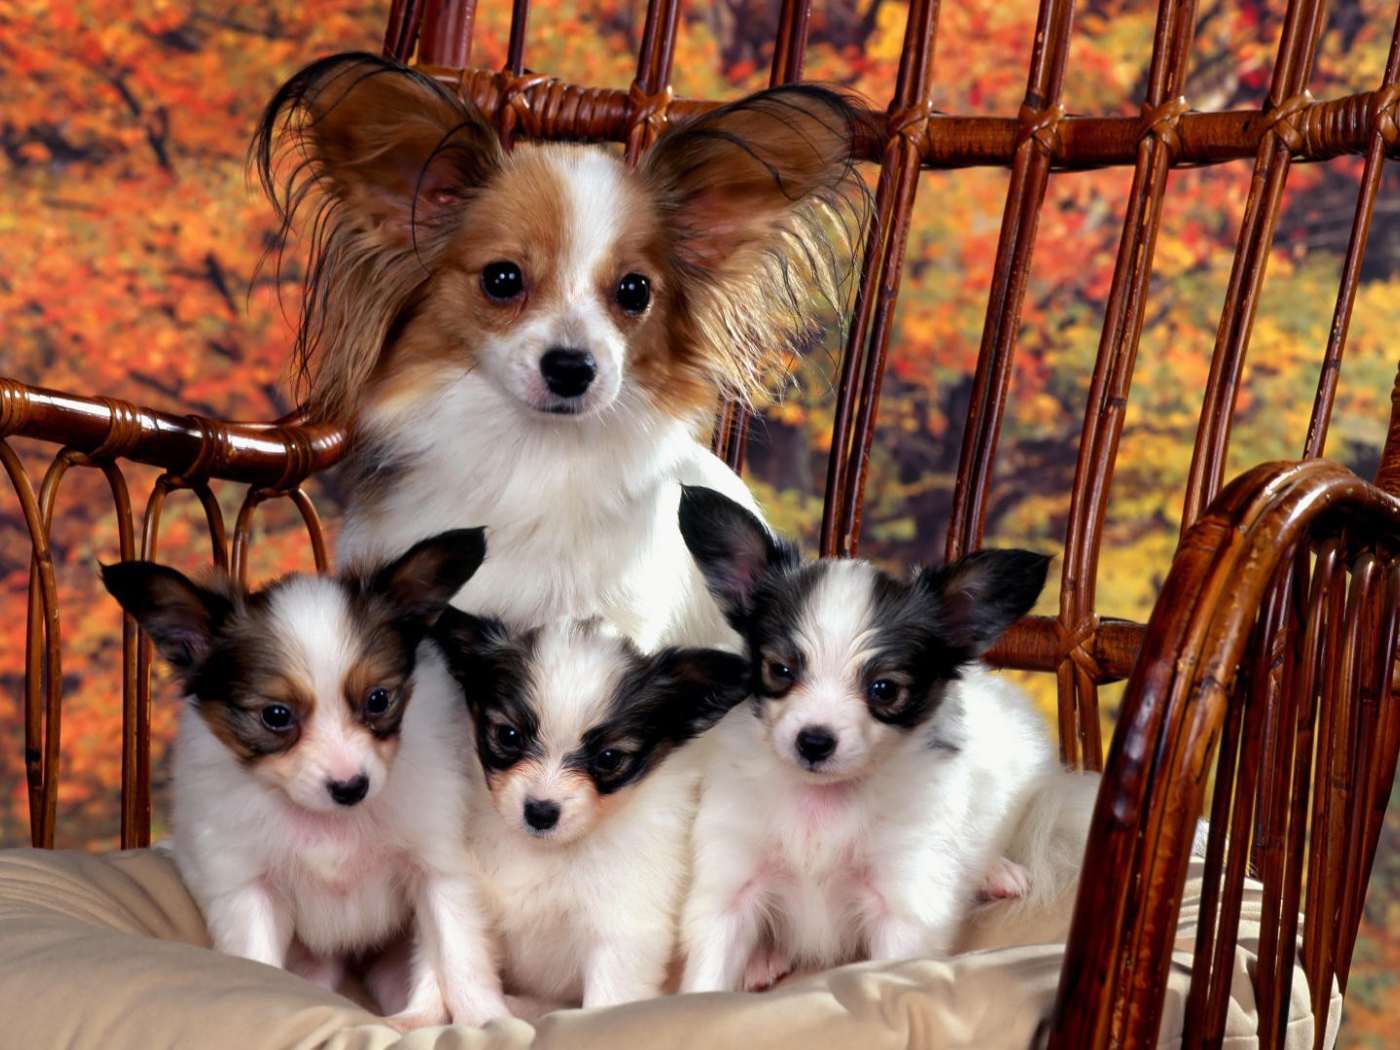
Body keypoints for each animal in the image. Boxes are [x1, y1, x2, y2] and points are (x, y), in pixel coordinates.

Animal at [101, 530, 508, 1028]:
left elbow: (458, 954)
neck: (329, 825)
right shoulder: (247, 889)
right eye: (276, 716)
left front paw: (489, 1023)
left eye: (378, 699)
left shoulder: (440, 870)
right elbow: (258, 960)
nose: (351, 787)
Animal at [432, 611, 749, 1007]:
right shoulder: (463, 902)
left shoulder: (622, 934)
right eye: (508, 736)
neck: (541, 851)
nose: (540, 812)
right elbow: (456, 967)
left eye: (609, 758)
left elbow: (605, 1003)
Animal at [674, 486, 1094, 991]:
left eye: (884, 689)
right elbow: (707, 975)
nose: (814, 741)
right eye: (780, 670)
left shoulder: (904, 899)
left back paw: (995, 870)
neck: (823, 804)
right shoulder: (731, 884)